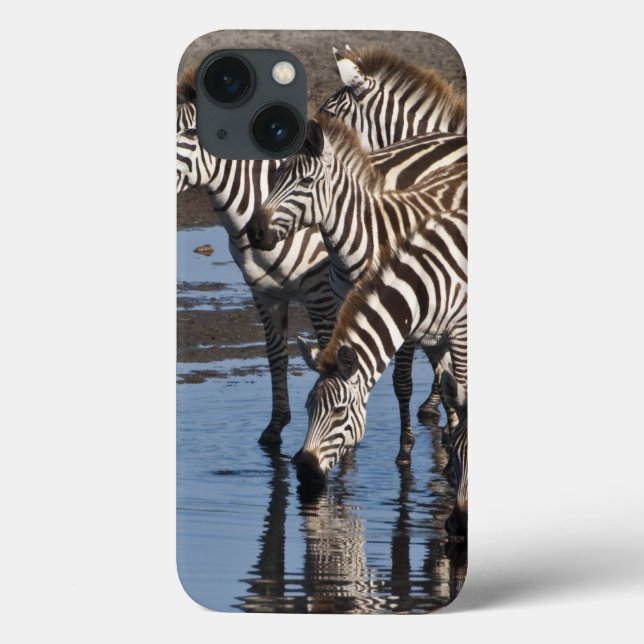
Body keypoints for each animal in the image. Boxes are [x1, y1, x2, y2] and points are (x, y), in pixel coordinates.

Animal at [294, 207, 467, 490]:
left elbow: (461, 387)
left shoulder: (459, 331)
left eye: (339, 411)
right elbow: (447, 389)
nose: (306, 472)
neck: (419, 289)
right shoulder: (433, 341)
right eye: (308, 408)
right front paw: (450, 462)